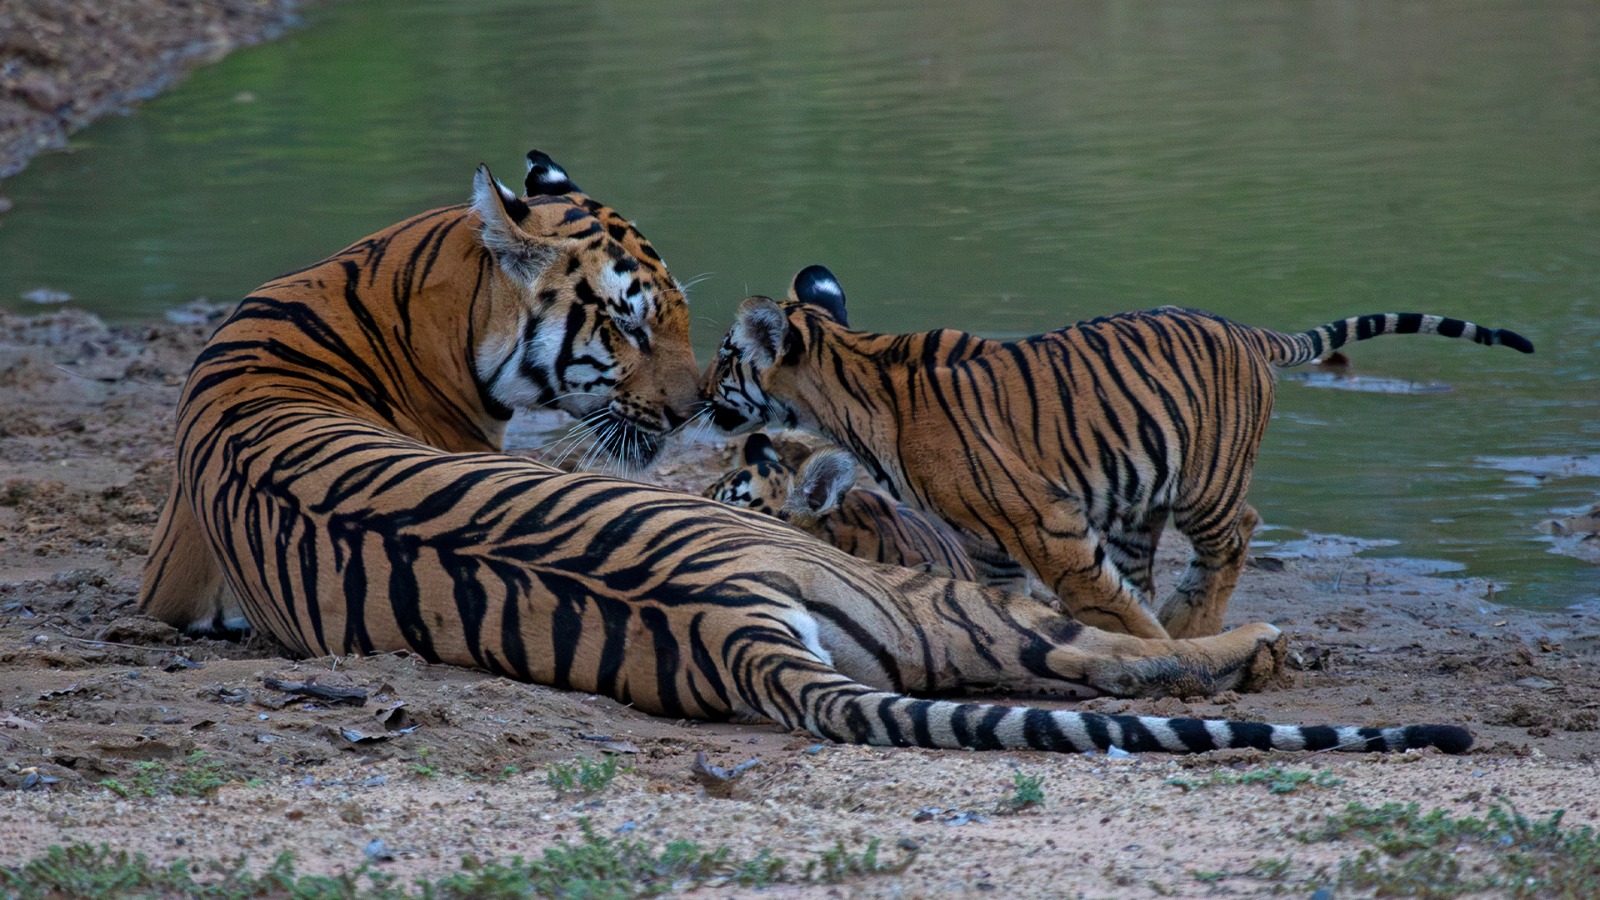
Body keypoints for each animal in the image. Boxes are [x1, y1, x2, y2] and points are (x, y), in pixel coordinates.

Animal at [702, 264, 1534, 641]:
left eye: (725, 358)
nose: (698, 395)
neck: (852, 377)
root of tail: (1250, 331)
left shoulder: (1042, 520)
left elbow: (1099, 597)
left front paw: (1157, 648)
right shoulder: (988, 539)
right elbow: (1009, 596)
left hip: (1205, 482)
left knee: (1239, 533)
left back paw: (1190, 622)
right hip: (1139, 498)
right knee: (1159, 561)